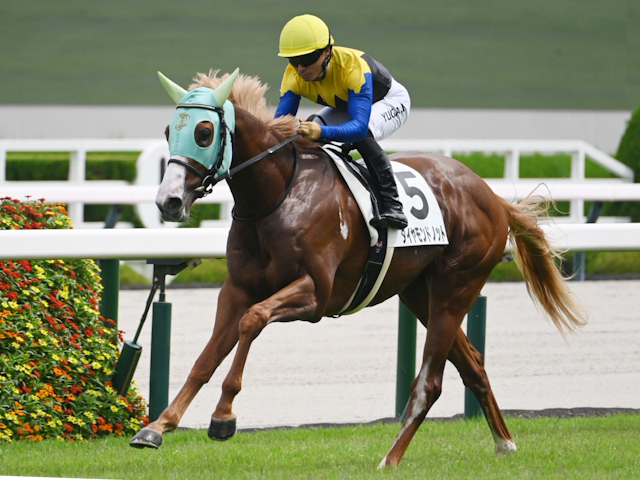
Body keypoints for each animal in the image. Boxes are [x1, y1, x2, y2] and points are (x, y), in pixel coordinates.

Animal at [129, 69, 586, 468]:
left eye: (204, 133)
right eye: (169, 131)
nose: (168, 202)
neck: (276, 194)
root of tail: (493, 197)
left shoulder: (315, 294)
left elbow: (252, 321)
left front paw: (224, 416)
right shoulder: (237, 288)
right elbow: (206, 357)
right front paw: (157, 426)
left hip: (458, 284)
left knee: (431, 382)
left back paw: (391, 459)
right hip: (420, 293)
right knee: (472, 363)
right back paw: (504, 443)